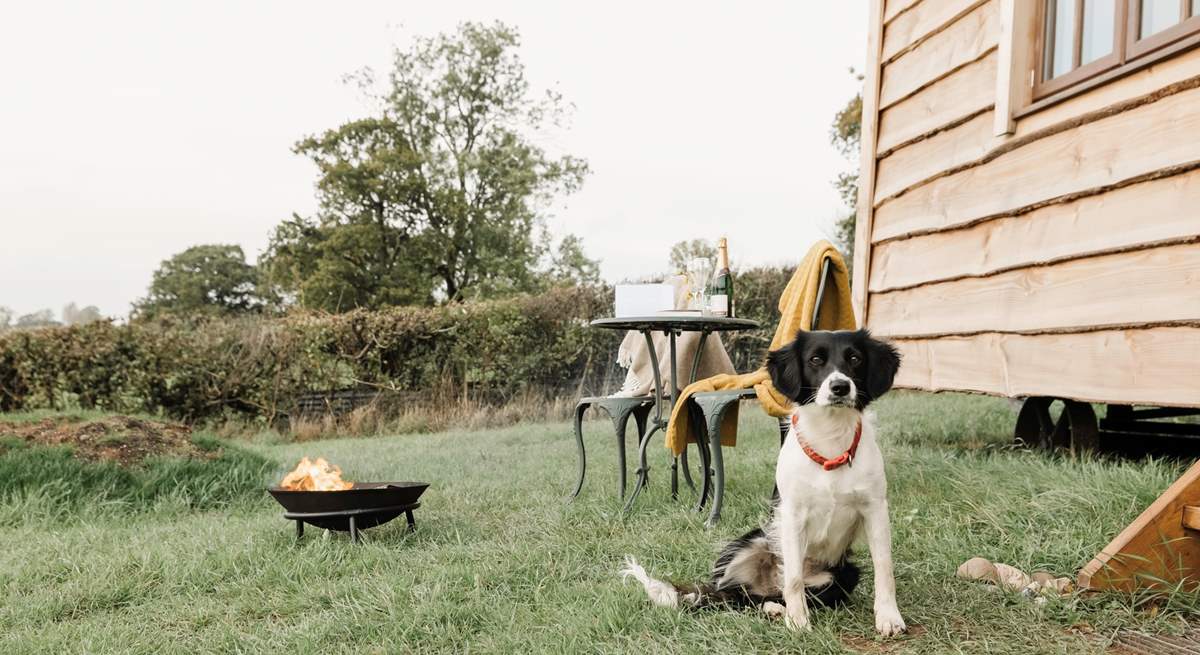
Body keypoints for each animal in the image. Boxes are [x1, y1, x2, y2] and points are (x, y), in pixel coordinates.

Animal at [624, 328, 902, 633]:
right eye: (816, 360)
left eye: (855, 359)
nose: (840, 387)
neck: (830, 442)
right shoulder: (792, 515)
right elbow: (793, 577)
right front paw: (798, 622)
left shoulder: (875, 508)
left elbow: (884, 568)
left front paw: (889, 617)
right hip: (749, 543)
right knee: (742, 596)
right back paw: (775, 609)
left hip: (842, 576)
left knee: (768, 596)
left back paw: (775, 607)